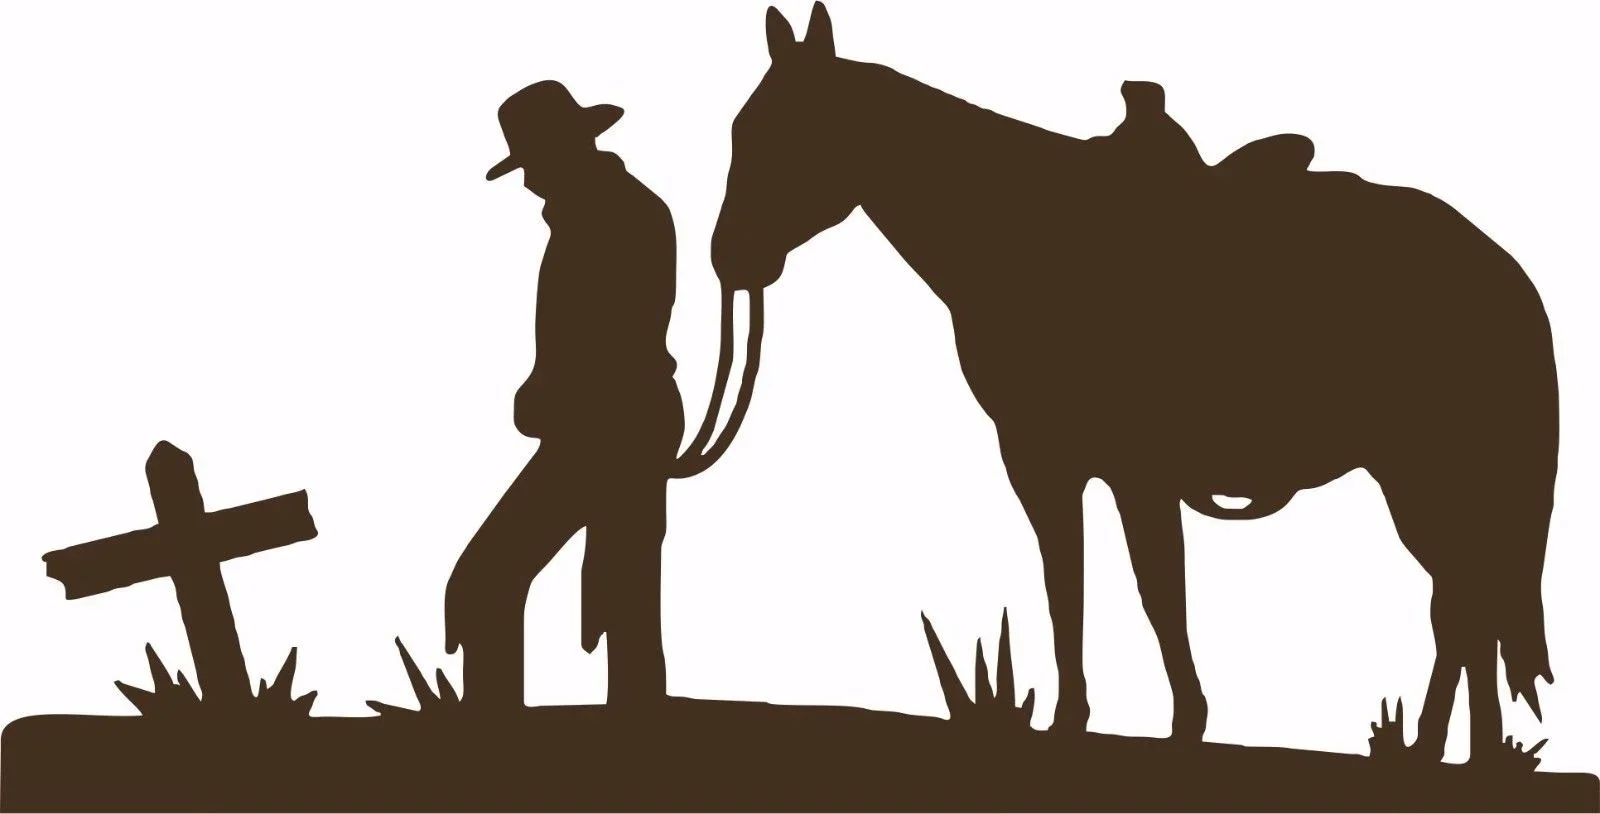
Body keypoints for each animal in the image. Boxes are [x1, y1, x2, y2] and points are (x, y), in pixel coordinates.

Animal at [706, 3, 1558, 764]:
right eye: (740, 132)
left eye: (786, 135)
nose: (728, 257)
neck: (1024, 235)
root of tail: (1503, 272)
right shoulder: (1047, 465)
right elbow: (1069, 584)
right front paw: (1076, 721)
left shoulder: (1130, 470)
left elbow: (1156, 590)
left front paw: (1184, 725)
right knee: (1469, 604)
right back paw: (1463, 752)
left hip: (1427, 477)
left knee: (1463, 605)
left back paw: (1439, 750)